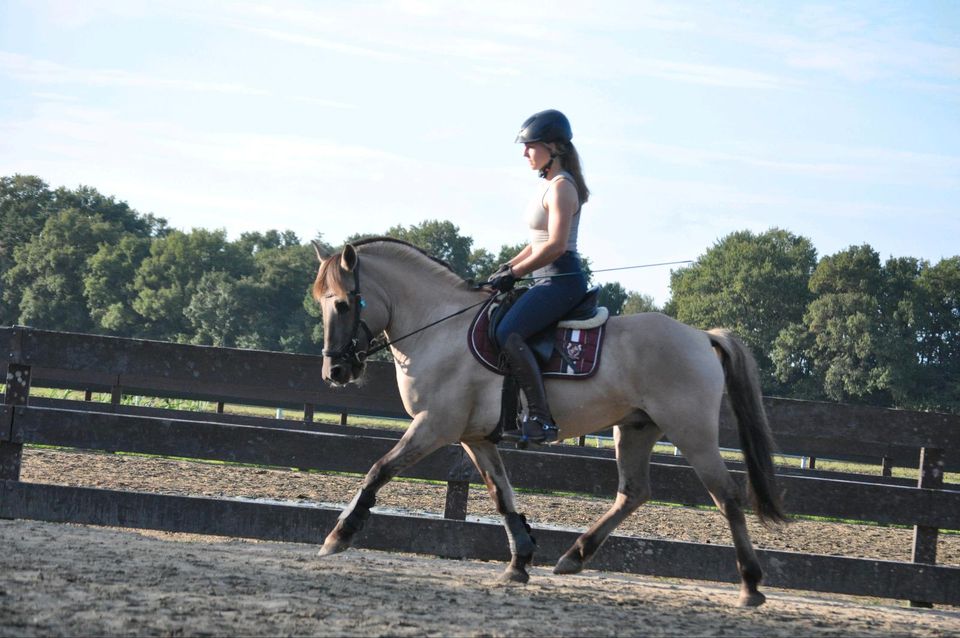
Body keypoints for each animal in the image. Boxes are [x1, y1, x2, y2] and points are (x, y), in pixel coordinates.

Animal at [312, 238, 784, 608]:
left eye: (342, 303)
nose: (334, 372)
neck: (439, 328)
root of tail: (701, 336)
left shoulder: (434, 427)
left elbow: (379, 469)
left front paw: (339, 535)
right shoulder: (475, 438)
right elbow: (501, 496)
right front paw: (519, 561)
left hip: (691, 431)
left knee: (726, 497)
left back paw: (750, 585)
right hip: (635, 428)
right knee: (633, 493)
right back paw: (574, 555)